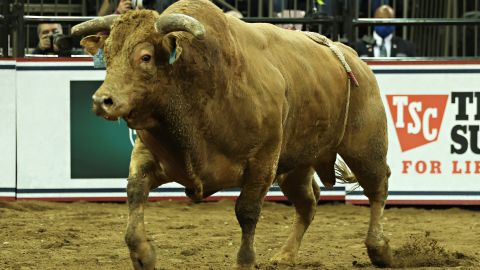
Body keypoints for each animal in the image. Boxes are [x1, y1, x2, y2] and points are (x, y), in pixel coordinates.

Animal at [72, 1, 394, 268]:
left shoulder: (263, 160)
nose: (102, 100)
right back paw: (286, 254)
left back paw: (379, 248)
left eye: (146, 57)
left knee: (377, 188)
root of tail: (353, 59)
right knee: (307, 202)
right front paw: (142, 254)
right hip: (297, 164)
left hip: (365, 147)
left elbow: (247, 211)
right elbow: (135, 192)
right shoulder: (149, 153)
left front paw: (245, 260)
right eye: (107, 56)